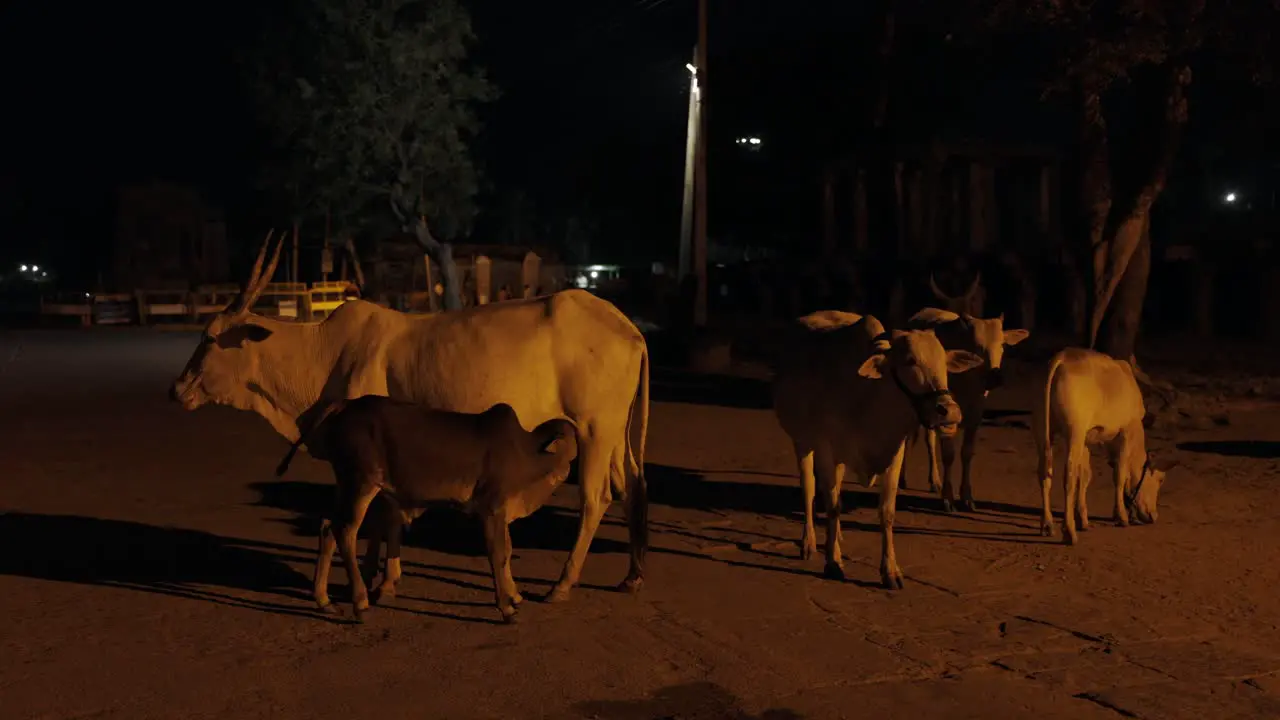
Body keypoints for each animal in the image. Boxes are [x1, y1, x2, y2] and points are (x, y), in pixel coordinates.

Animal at [170, 226, 650, 602]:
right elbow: (384, 512)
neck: (325, 353)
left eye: (210, 338)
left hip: (593, 428)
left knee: (596, 497)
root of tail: (629, 328)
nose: (177, 390)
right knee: (630, 484)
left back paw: (562, 585)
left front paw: (377, 581)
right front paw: (378, 577)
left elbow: (382, 514)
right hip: (612, 432)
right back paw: (632, 576)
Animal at [768, 311, 977, 586]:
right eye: (910, 361)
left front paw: (890, 571)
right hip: (802, 442)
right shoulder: (824, 448)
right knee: (810, 490)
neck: (868, 396)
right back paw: (810, 542)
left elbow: (886, 511)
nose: (950, 411)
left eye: (944, 361)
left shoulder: (894, 452)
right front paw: (833, 563)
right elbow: (830, 505)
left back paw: (836, 538)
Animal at [1034, 348, 1172, 543]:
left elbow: (1085, 476)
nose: (1154, 516)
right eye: (1160, 479)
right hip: (1074, 431)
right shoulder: (1126, 432)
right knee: (1068, 476)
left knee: (1045, 473)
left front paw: (1083, 519)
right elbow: (1120, 475)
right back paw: (1069, 531)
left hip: (1043, 430)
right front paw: (1121, 516)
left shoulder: (1086, 440)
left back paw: (1047, 524)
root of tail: (1061, 358)